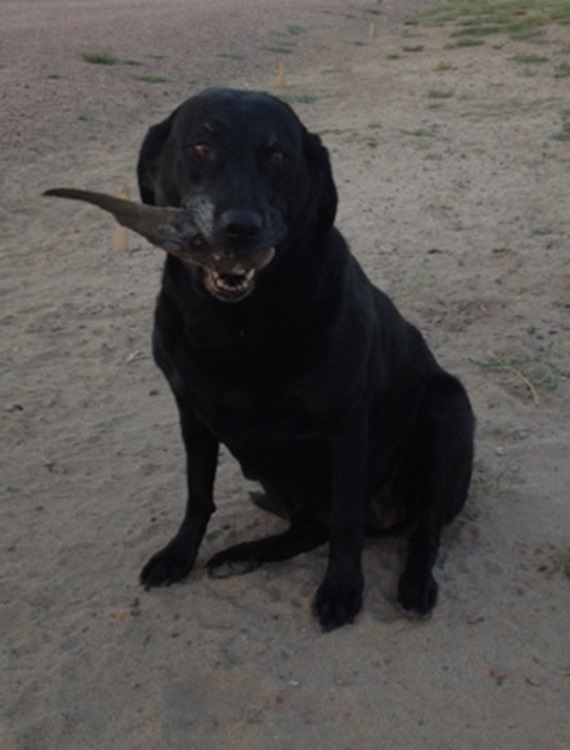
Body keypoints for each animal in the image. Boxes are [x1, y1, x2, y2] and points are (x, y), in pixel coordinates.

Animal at [135, 88, 472, 632]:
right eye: (201, 147)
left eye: (277, 156)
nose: (240, 229)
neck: (237, 325)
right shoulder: (191, 415)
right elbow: (197, 495)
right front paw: (178, 555)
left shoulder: (347, 426)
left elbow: (348, 525)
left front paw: (342, 589)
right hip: (273, 471)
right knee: (310, 529)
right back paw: (242, 554)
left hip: (447, 408)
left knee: (421, 527)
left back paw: (416, 584)